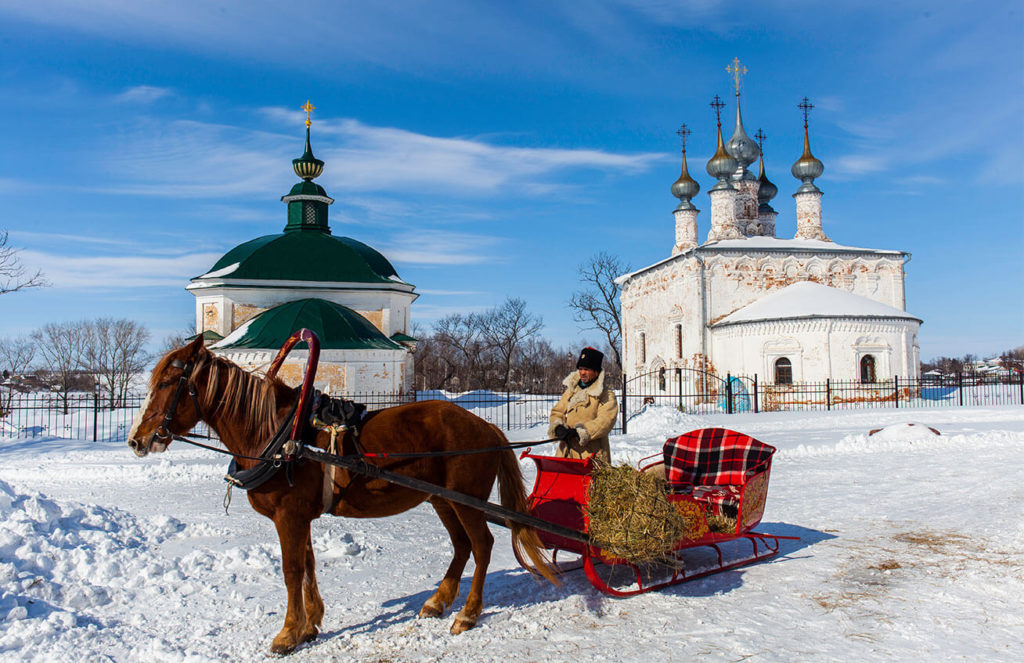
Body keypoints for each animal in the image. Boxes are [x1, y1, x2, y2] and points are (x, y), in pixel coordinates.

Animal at [131, 340, 561, 655]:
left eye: (167, 383)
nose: (137, 440)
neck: (280, 435)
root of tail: (486, 427)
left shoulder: (289, 517)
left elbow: (291, 570)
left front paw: (287, 633)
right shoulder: (299, 517)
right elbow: (307, 564)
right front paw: (310, 624)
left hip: (464, 499)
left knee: (482, 544)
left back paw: (468, 614)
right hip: (442, 500)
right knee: (461, 546)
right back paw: (438, 601)